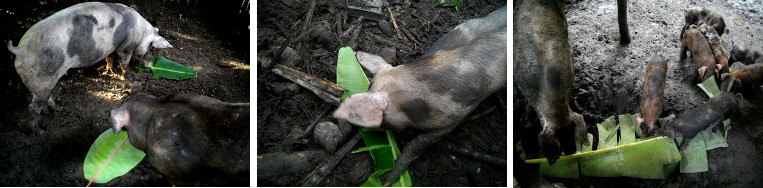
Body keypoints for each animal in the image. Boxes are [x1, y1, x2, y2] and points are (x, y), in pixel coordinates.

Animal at [6, 1, 173, 134]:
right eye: (151, 47)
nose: (151, 64)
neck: (141, 30)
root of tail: (20, 49)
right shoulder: (126, 46)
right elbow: (124, 62)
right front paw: (129, 76)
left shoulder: (113, 48)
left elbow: (110, 59)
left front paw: (113, 71)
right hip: (40, 79)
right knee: (33, 108)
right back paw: (39, 131)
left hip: (41, 83)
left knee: (47, 98)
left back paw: (58, 109)